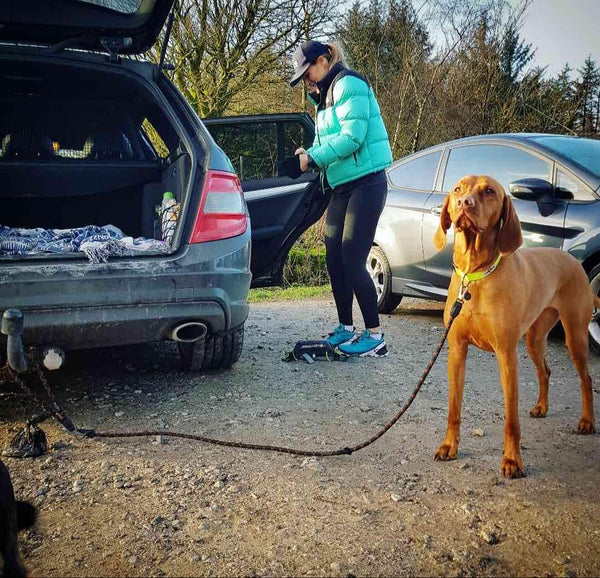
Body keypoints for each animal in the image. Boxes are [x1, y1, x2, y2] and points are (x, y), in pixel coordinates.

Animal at [432, 174, 596, 476]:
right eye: (458, 189)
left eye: (489, 191)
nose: (464, 203)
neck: (476, 275)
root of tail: (571, 259)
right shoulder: (457, 350)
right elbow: (453, 408)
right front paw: (449, 446)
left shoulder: (506, 354)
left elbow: (511, 420)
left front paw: (511, 461)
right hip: (534, 338)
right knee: (545, 371)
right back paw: (541, 407)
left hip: (575, 335)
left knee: (586, 379)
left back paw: (587, 422)